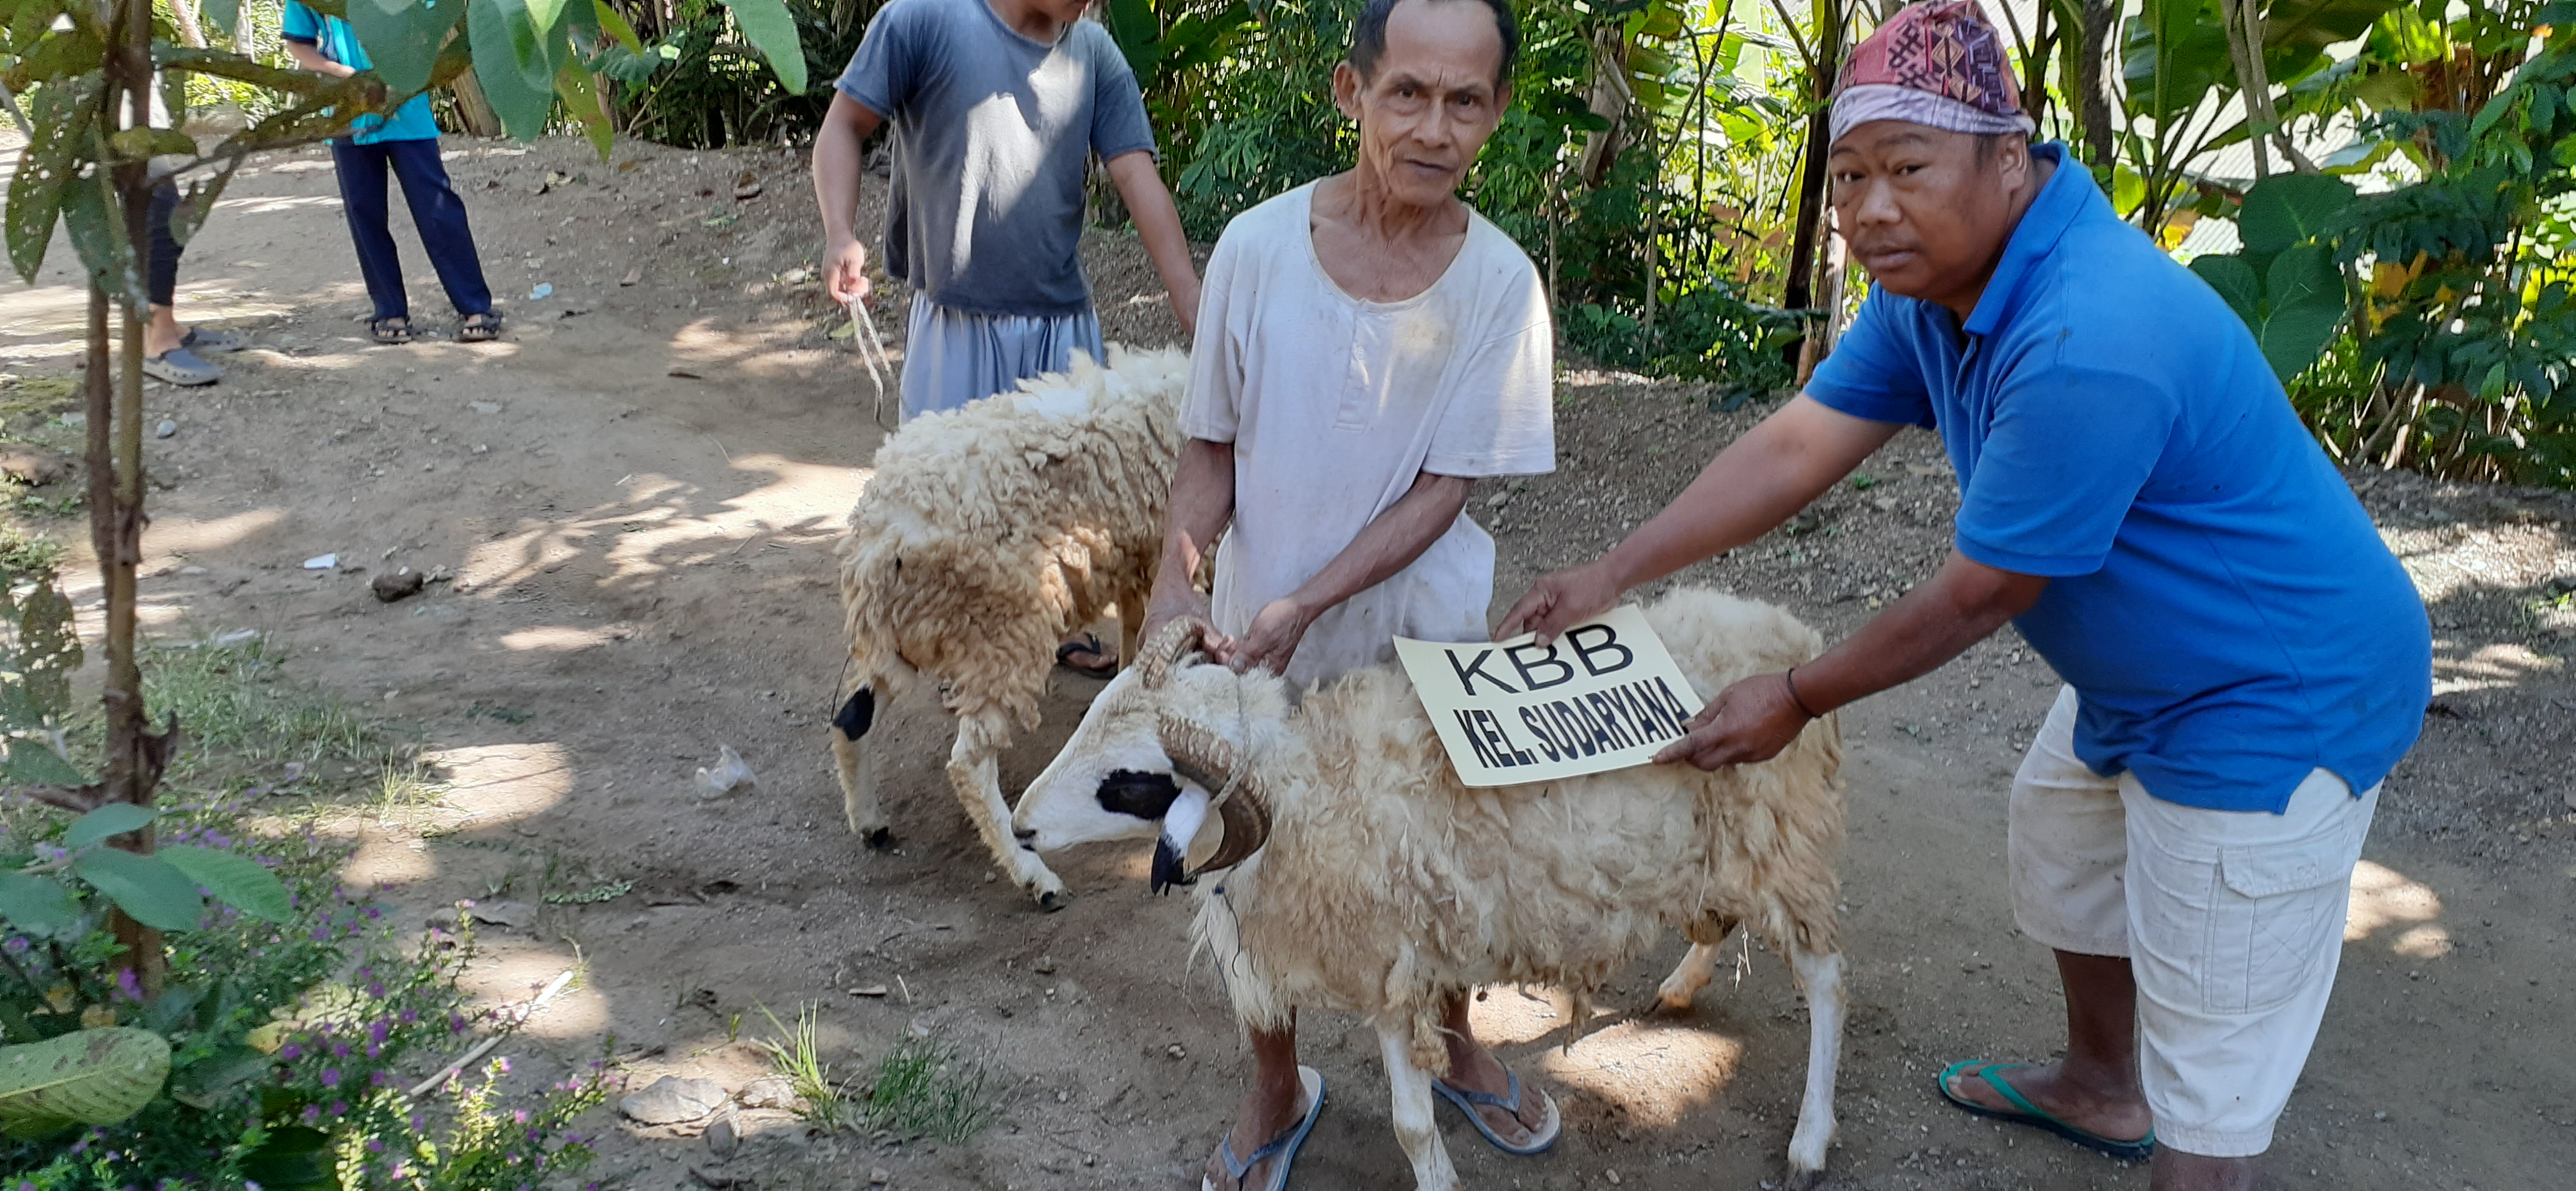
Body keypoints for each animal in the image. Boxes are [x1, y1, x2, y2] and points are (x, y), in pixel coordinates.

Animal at [829, 345, 1192, 910]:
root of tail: (878, 537)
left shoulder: (1136, 558)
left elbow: (1137, 631)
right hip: (1001, 632)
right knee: (968, 766)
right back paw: (1035, 877)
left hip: (905, 631)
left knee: (851, 718)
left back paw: (870, 822)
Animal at [1010, 587, 1848, 1189]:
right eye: (1089, 716)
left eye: (1131, 782)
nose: (1020, 828)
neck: (1315, 790)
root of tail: (1795, 635)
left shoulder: (1392, 974)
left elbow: (1411, 1126)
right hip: (1724, 849)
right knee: (1719, 920)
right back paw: (1679, 986)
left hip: (1782, 842)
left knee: (1826, 979)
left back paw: (1810, 1142)